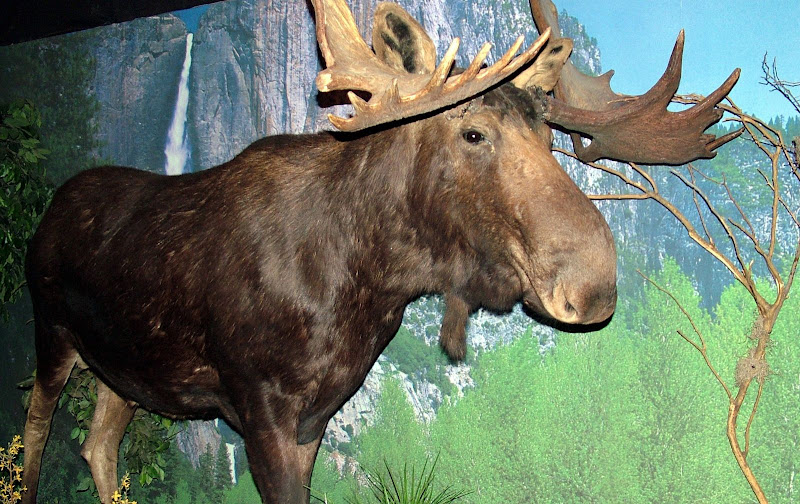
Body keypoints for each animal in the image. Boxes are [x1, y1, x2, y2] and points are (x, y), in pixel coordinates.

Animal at [20, 0, 740, 501]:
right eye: (472, 132)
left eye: (549, 136)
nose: (593, 283)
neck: (366, 286)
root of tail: (51, 206)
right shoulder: (259, 406)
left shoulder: (314, 417)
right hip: (50, 332)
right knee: (33, 441)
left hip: (125, 367)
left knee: (98, 446)